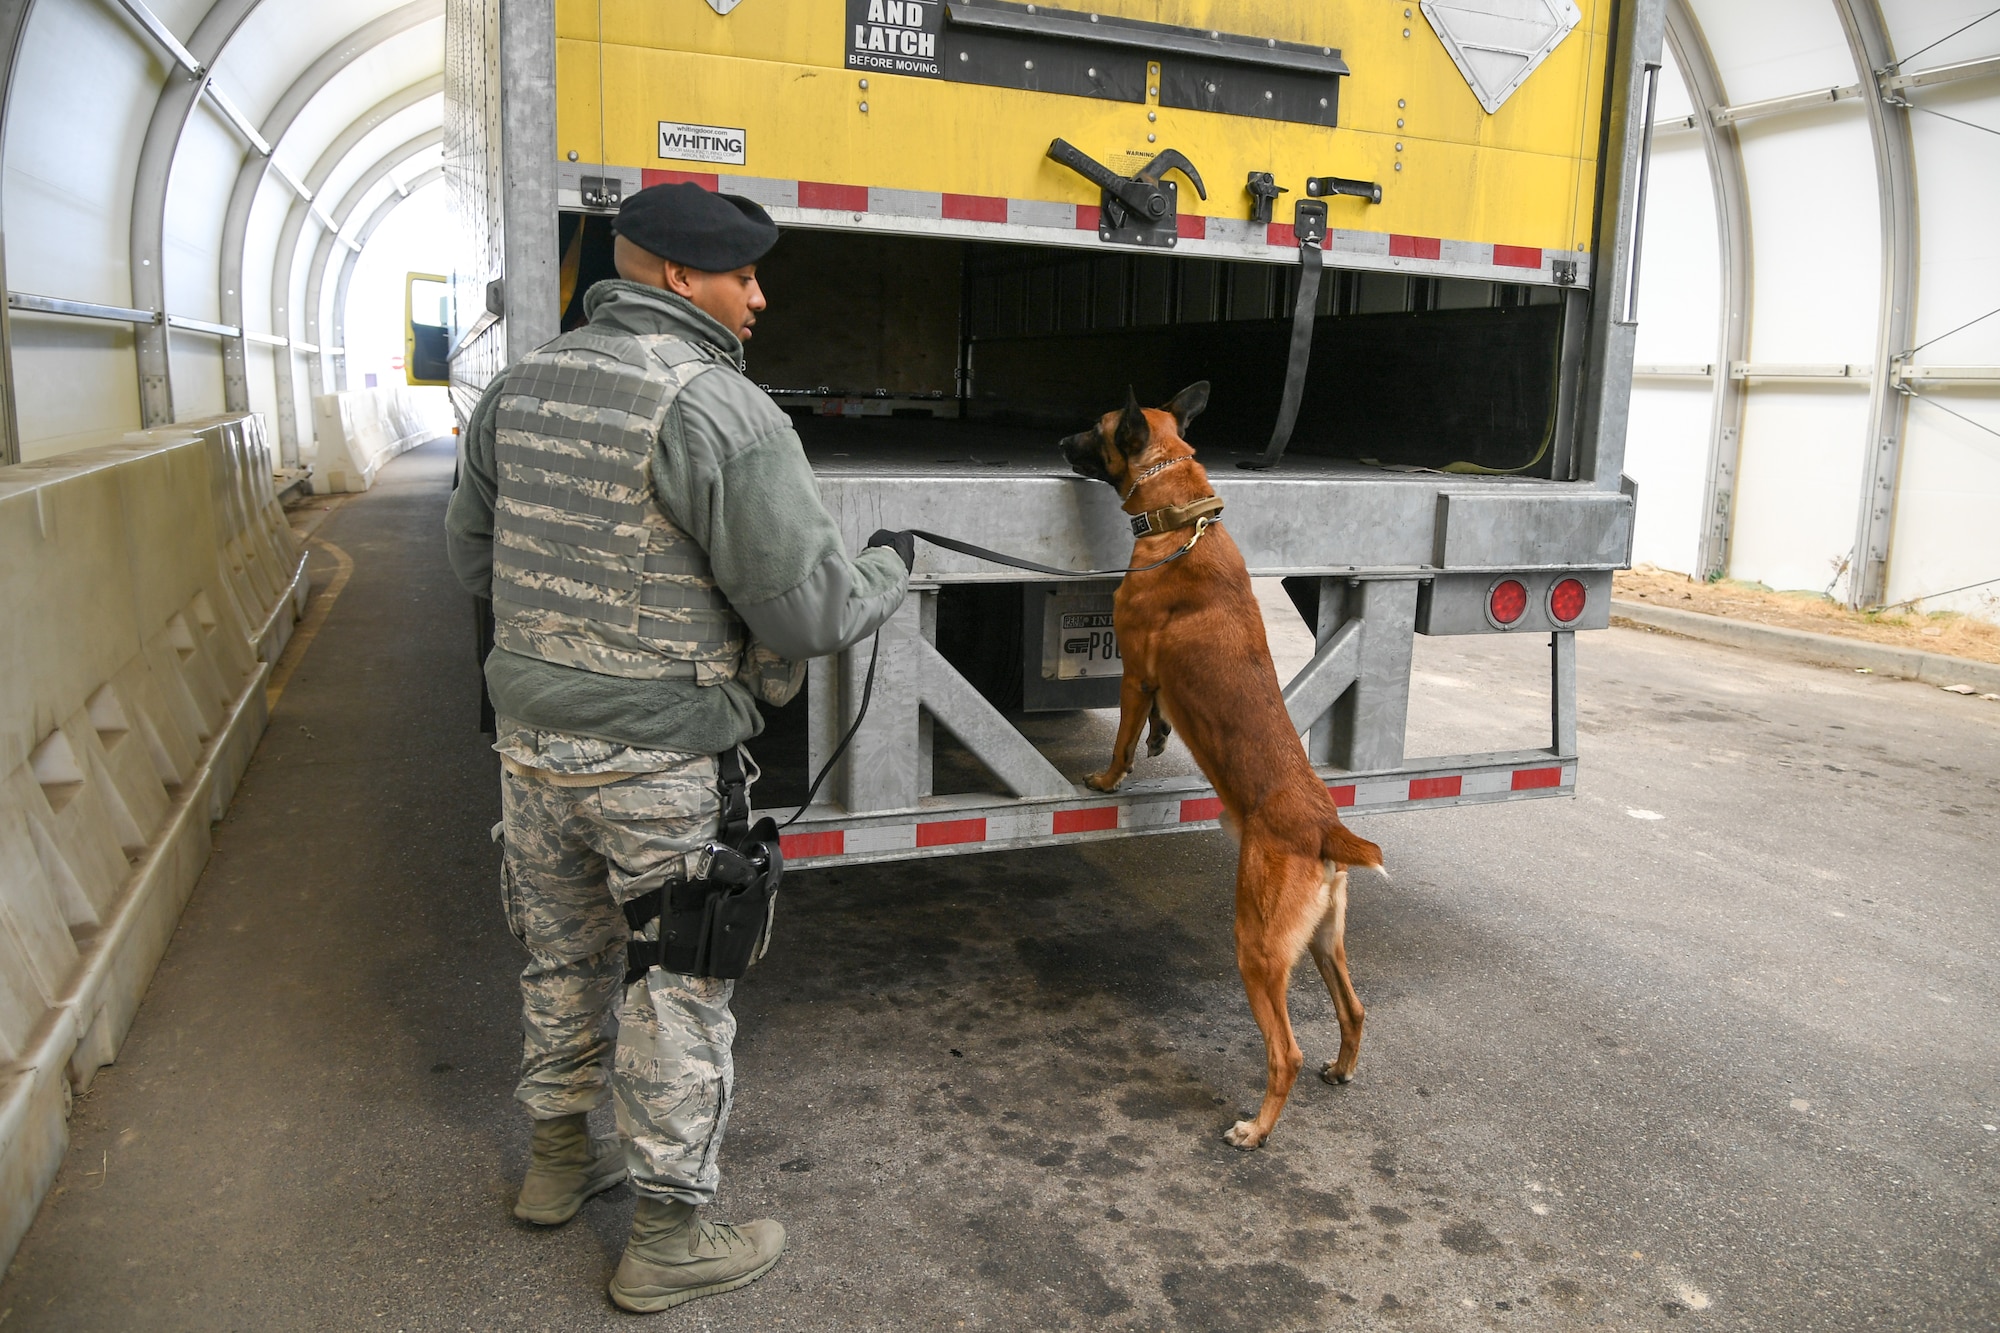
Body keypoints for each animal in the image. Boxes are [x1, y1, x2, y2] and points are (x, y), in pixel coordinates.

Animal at [1064, 378, 1376, 1144]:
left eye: (1095, 427)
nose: (1057, 441)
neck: (1182, 524)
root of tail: (1325, 830)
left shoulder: (1135, 674)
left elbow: (1122, 738)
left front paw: (1109, 777)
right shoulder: (1154, 686)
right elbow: (1152, 727)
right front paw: (1156, 744)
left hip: (1258, 948)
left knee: (1285, 1051)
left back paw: (1256, 1129)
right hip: (1323, 944)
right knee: (1355, 1010)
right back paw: (1341, 1068)